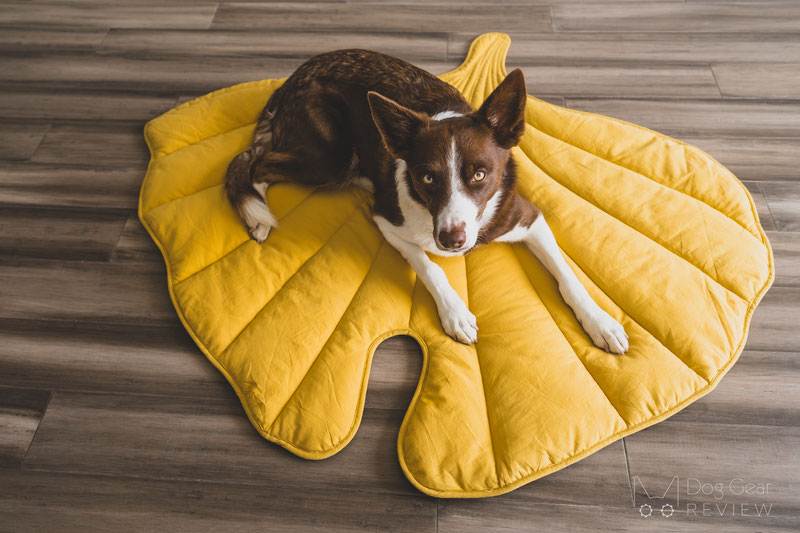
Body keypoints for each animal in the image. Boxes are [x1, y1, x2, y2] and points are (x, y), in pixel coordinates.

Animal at [222, 47, 628, 352]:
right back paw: (256, 215)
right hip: (333, 160)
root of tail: (290, 80)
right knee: (253, 161)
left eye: (480, 175)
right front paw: (455, 313)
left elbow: (568, 276)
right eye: (427, 177)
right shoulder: (385, 218)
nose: (452, 241)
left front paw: (600, 322)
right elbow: (429, 266)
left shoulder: (528, 217)